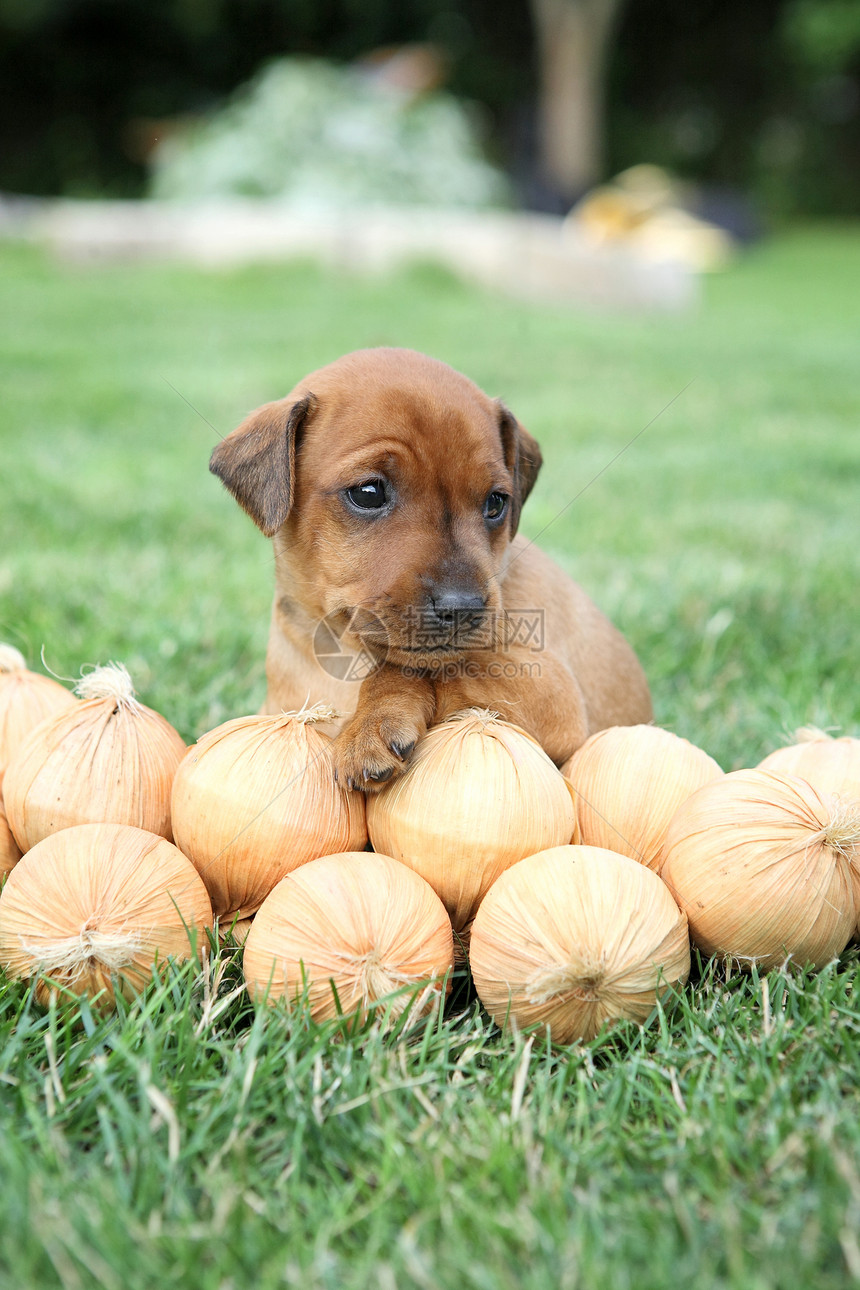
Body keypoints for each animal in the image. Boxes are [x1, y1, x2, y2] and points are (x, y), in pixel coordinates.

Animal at [210, 348, 652, 784]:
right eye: (368, 493)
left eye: (496, 502)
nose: (463, 607)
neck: (342, 654)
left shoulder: (550, 690)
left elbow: (420, 669)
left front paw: (374, 721)